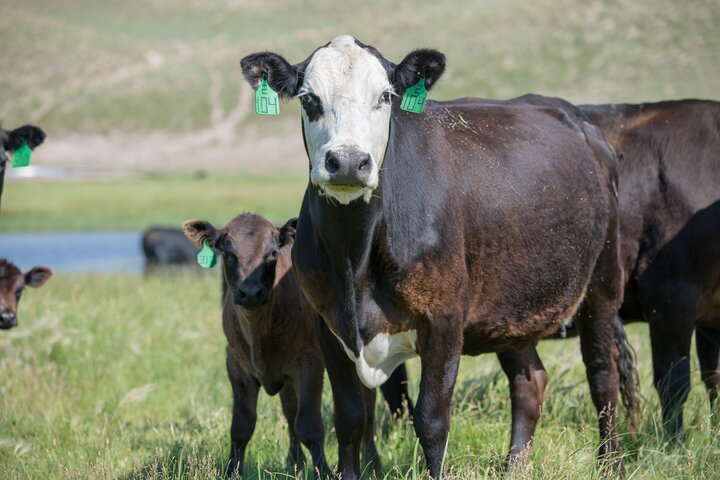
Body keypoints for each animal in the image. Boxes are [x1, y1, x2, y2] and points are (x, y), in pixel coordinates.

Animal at [183, 215, 414, 480]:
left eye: (272, 253)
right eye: (228, 253)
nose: (250, 293)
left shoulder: (309, 363)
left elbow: (309, 426)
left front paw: (323, 471)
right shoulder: (236, 365)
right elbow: (242, 427)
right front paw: (233, 471)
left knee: (367, 402)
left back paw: (372, 462)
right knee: (290, 408)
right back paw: (295, 462)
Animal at [240, 35, 636, 478]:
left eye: (385, 96)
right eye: (309, 98)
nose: (347, 162)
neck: (354, 258)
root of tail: (583, 123)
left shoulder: (444, 318)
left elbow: (431, 420)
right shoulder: (328, 324)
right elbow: (349, 418)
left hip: (602, 285)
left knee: (602, 377)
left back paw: (612, 465)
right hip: (510, 306)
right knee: (529, 382)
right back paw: (514, 466)